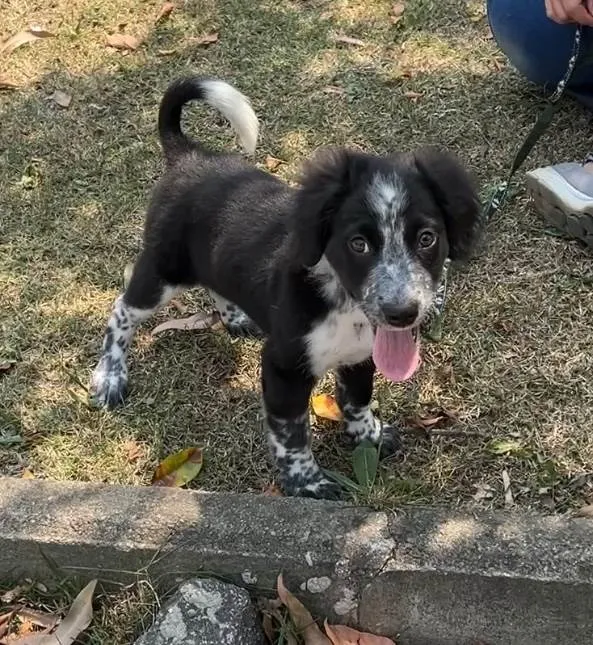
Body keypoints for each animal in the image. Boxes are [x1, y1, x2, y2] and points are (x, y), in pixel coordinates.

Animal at [92, 75, 480, 498]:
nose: (402, 313)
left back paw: (234, 318)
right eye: (357, 244)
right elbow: (292, 435)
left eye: (427, 238)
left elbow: (358, 399)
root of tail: (188, 156)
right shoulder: (282, 369)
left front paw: (369, 436)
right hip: (164, 269)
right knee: (123, 309)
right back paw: (110, 376)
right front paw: (307, 483)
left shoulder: (360, 354)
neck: (343, 307)